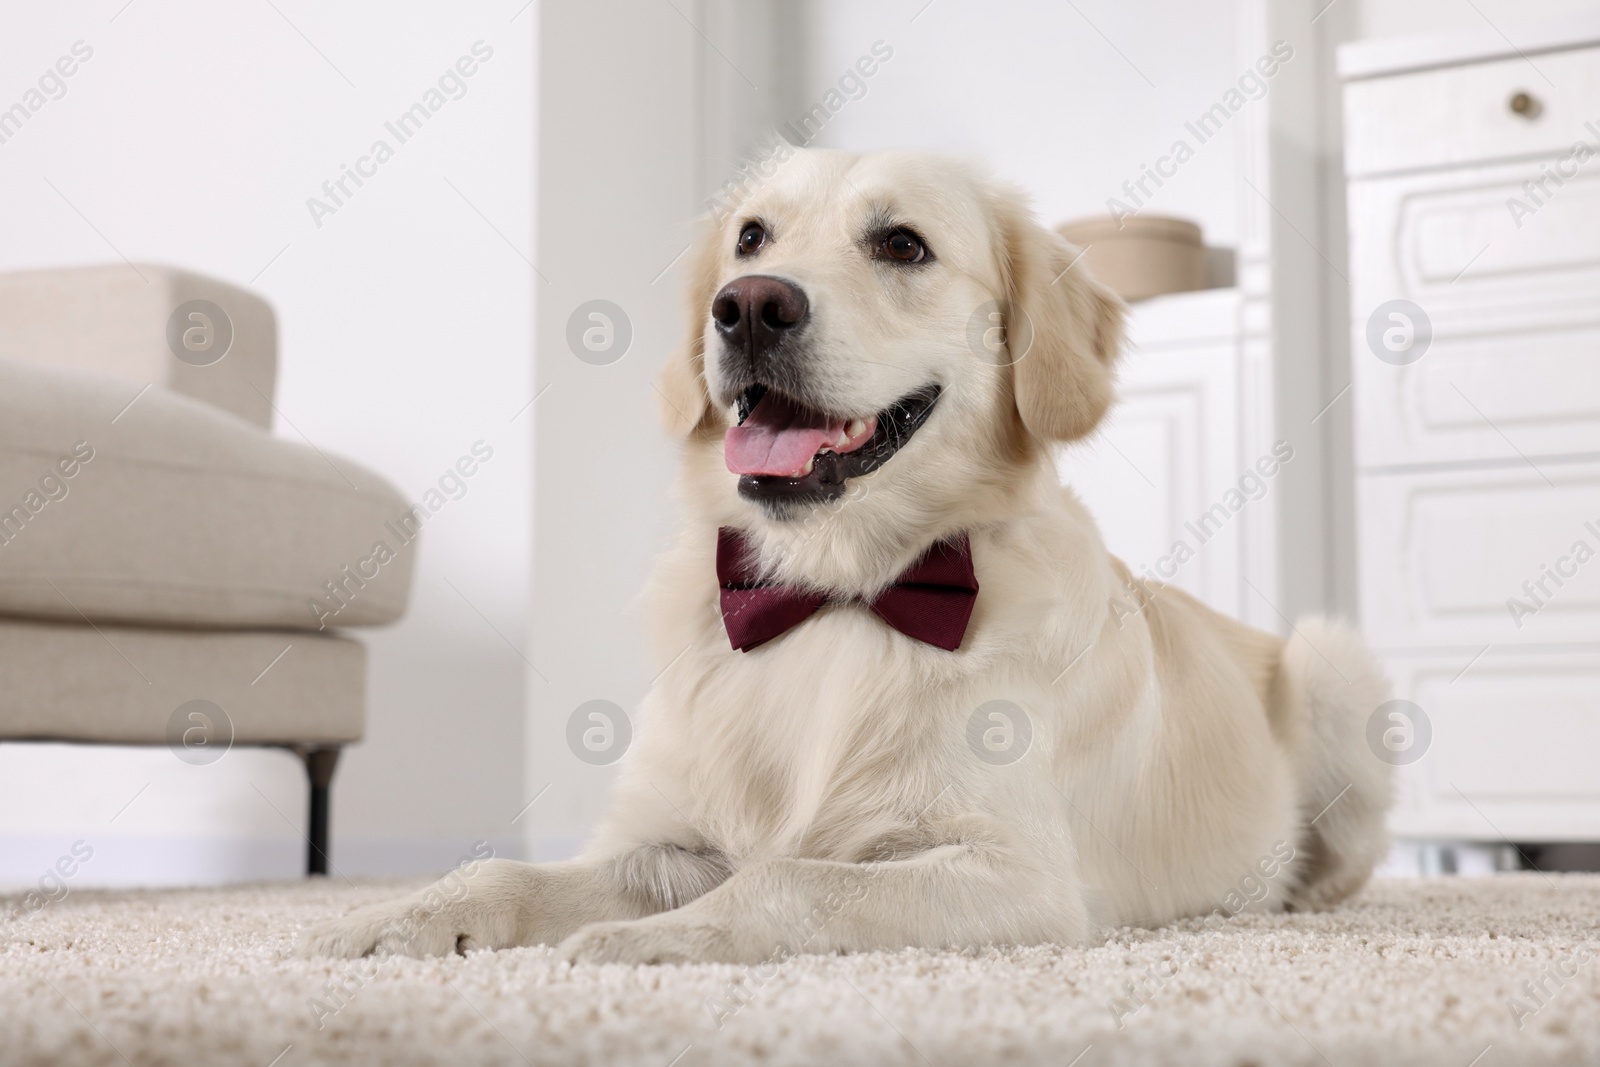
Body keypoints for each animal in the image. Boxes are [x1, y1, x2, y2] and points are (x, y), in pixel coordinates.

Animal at [302, 146, 1388, 966]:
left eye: (901, 243)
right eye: (751, 237)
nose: (747, 305)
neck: (828, 587)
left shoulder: (1016, 874)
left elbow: (788, 876)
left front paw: (649, 940)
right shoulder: (668, 836)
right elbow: (509, 870)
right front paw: (398, 914)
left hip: (1334, 659)